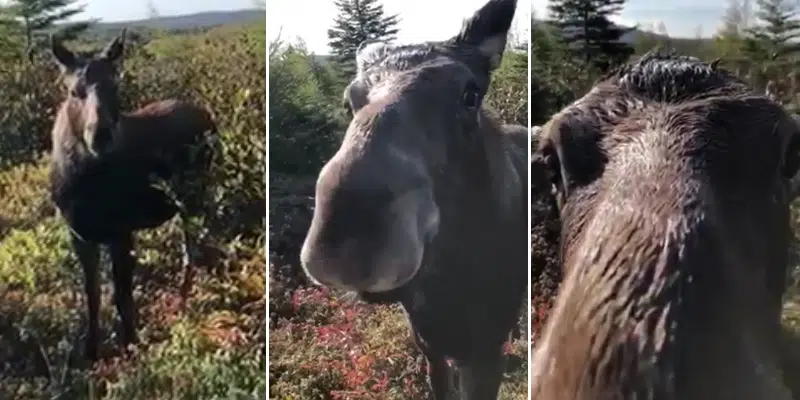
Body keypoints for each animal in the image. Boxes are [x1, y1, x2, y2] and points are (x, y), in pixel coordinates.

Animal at [49, 29, 219, 360]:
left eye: (116, 85)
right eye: (74, 91)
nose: (100, 135)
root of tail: (207, 114)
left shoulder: (122, 232)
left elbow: (122, 296)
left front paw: (130, 346)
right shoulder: (78, 234)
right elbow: (92, 294)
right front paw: (91, 350)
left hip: (195, 194)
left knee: (191, 248)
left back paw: (183, 303)